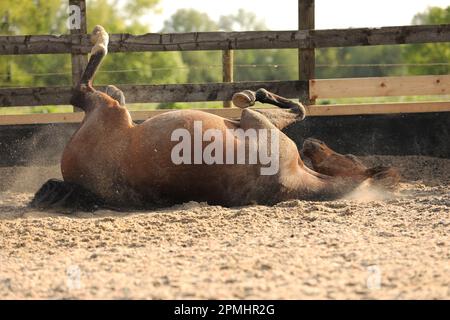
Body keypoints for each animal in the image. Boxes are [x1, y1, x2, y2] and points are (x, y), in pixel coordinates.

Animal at [30, 25, 398, 210]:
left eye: (346, 156)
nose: (311, 144)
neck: (292, 179)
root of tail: (78, 182)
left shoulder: (255, 122)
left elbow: (294, 107)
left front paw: (251, 93)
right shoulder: (256, 122)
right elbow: (296, 107)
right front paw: (253, 93)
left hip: (107, 109)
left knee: (83, 89)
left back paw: (101, 40)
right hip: (109, 109)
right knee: (84, 88)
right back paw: (105, 51)